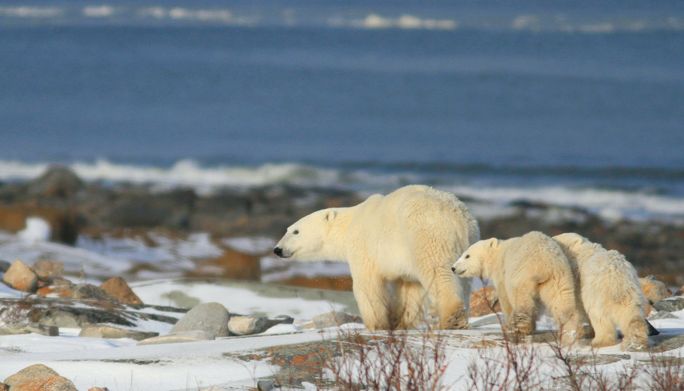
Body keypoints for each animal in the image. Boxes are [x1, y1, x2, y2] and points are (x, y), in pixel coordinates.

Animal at [274, 186, 480, 330]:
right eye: (287, 229)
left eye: (295, 231)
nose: (277, 249)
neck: (349, 224)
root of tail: (457, 217)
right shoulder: (404, 260)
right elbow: (410, 290)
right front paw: (399, 323)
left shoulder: (364, 246)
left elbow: (367, 285)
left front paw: (376, 325)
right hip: (466, 247)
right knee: (463, 280)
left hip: (426, 235)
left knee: (437, 272)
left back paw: (452, 318)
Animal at [452, 233, 580, 340]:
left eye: (467, 256)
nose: (453, 268)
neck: (497, 253)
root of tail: (545, 263)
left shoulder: (502, 272)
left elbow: (505, 297)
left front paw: (508, 324)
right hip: (559, 277)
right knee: (562, 300)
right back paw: (570, 329)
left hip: (523, 275)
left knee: (521, 300)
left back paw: (521, 327)